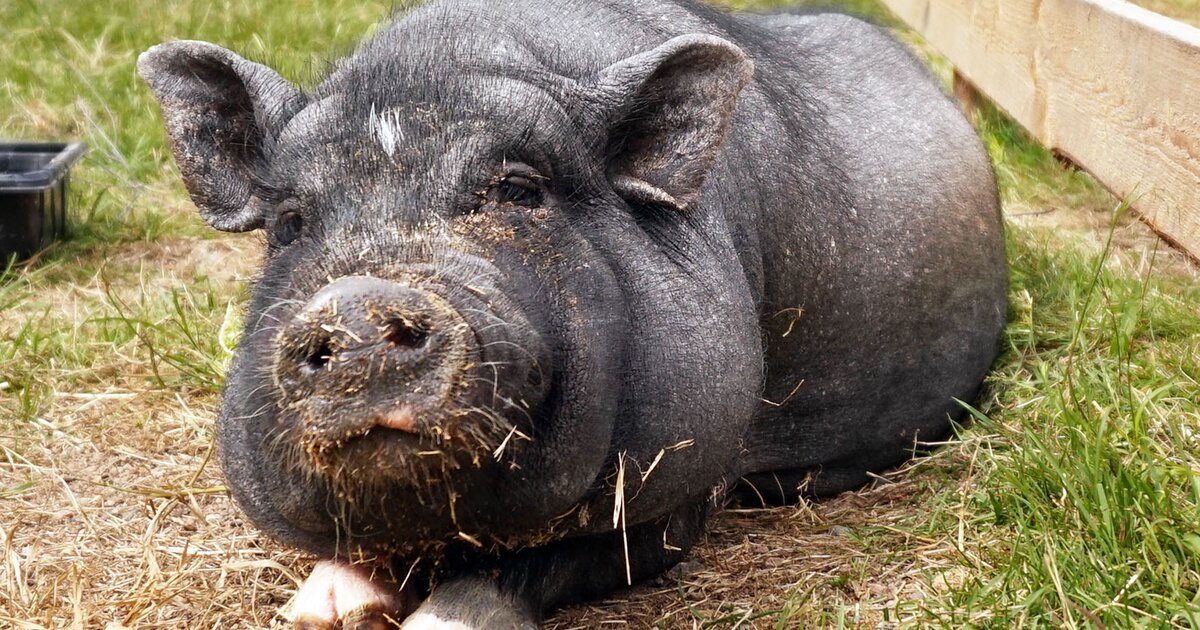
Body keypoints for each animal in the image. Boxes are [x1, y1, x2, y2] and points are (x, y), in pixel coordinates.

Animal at [138, 0, 1006, 627]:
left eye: (520, 189)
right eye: (289, 222)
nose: (355, 303)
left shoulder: (677, 493)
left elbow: (528, 569)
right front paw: (317, 611)